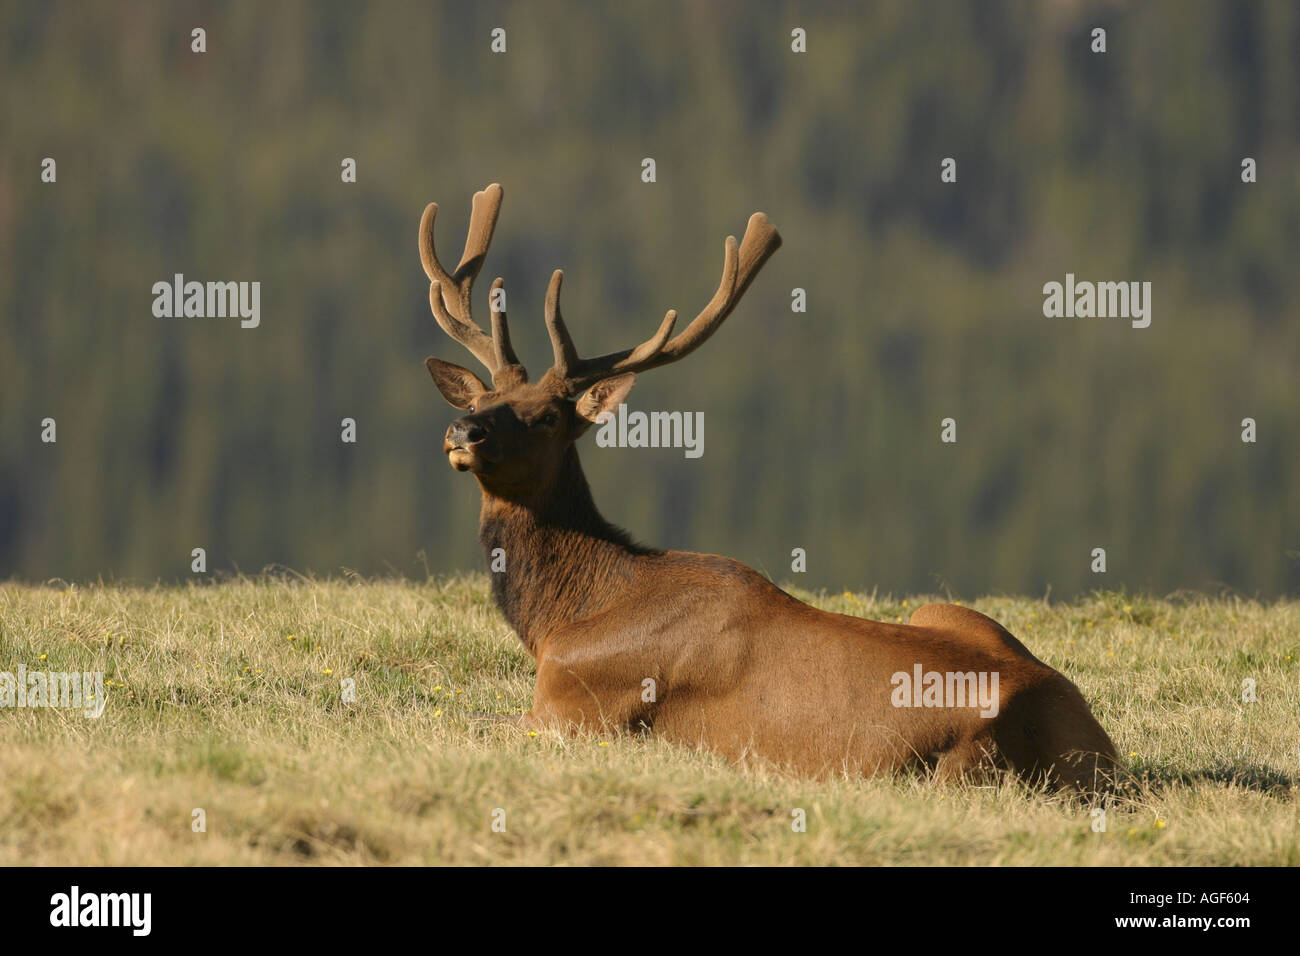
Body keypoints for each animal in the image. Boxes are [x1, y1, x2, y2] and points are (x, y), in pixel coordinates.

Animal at [419, 184, 1117, 793]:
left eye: (545, 417)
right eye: (481, 398)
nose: (462, 430)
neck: (564, 617)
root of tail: (1102, 756)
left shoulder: (571, 709)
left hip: (950, 766)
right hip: (946, 613)